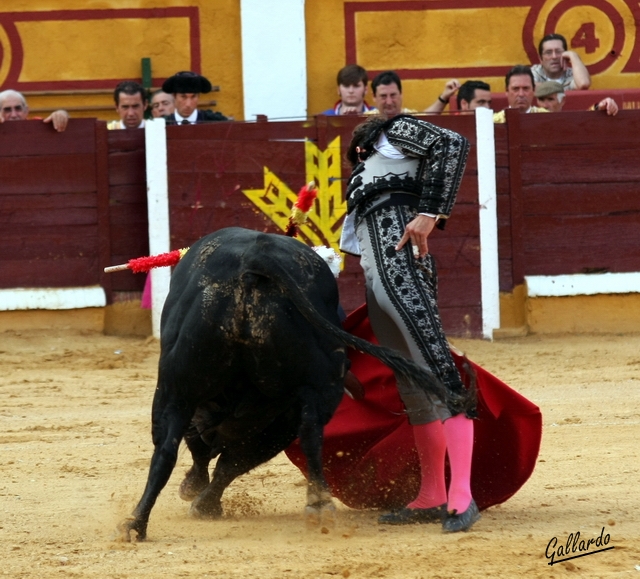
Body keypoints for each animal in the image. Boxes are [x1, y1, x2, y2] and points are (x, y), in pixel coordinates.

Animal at [117, 228, 462, 544]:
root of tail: (257, 258)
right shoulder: (275, 418)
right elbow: (232, 460)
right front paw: (203, 499)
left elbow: (222, 459)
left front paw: (200, 497)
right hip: (293, 392)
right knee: (304, 435)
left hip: (182, 389)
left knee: (169, 449)